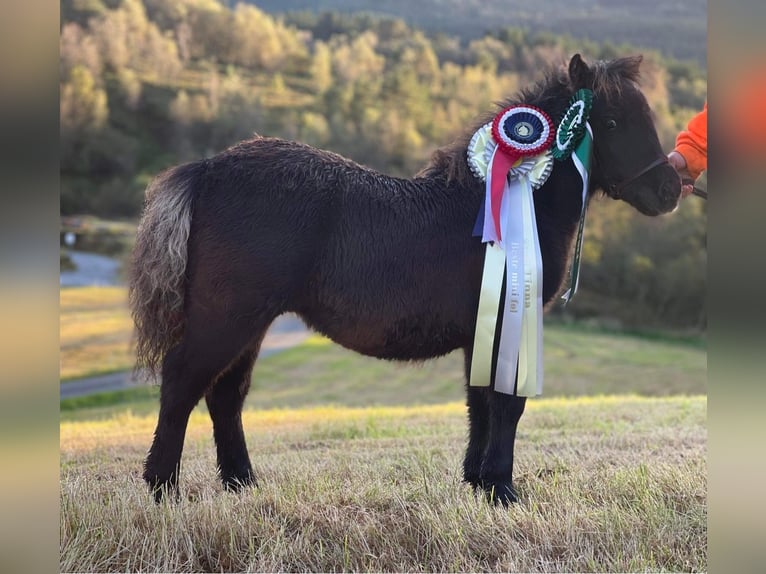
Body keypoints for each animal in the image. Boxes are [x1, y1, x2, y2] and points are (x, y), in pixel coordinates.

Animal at [129, 54, 682, 504]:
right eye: (611, 121)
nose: (670, 189)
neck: (503, 195)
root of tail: (207, 169)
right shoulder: (507, 323)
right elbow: (507, 405)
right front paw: (503, 490)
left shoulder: (483, 332)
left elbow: (480, 403)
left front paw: (478, 483)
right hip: (227, 317)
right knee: (182, 382)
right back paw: (163, 489)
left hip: (252, 323)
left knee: (226, 394)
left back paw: (242, 484)